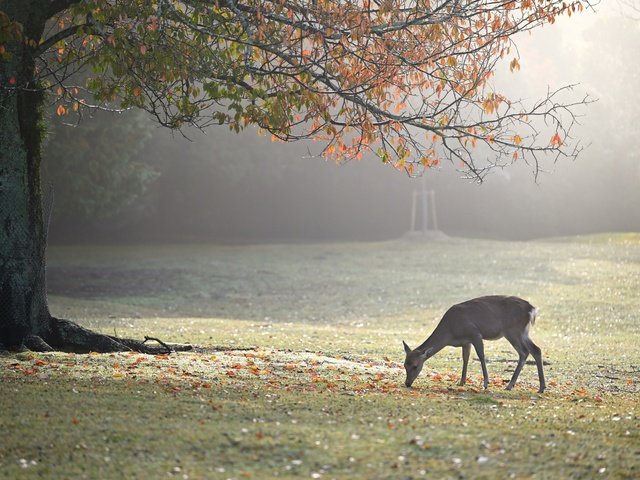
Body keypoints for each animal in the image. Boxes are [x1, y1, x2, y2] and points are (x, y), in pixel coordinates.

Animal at [404, 296, 544, 394]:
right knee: (535, 350)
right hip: (523, 332)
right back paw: (541, 387)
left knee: (524, 352)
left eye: (415, 366)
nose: (407, 383)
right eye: (405, 365)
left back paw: (509, 385)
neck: (450, 332)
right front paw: (461, 382)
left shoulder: (475, 333)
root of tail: (531, 309)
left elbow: (481, 355)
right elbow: (465, 358)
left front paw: (486, 383)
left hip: (513, 331)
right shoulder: (466, 342)